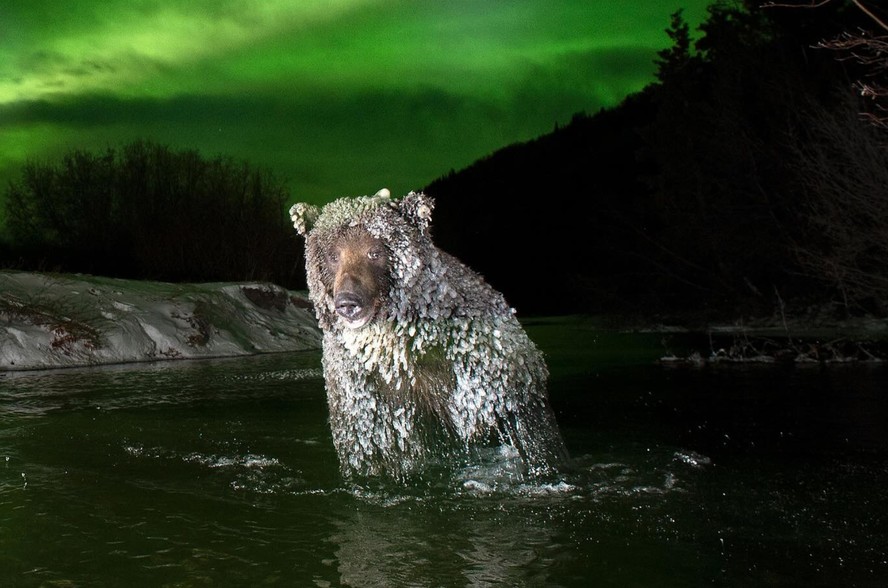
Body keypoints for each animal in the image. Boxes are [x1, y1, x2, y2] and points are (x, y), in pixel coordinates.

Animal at [289, 189, 567, 481]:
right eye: (333, 255)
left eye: (374, 251)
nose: (348, 302)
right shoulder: (362, 393)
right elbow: (371, 452)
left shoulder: (481, 368)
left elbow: (532, 436)